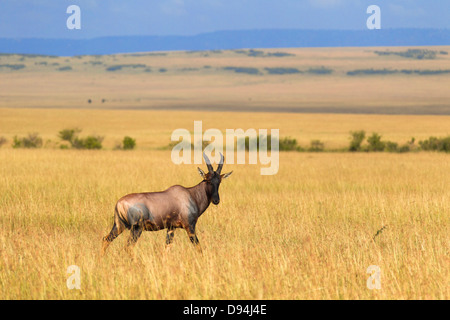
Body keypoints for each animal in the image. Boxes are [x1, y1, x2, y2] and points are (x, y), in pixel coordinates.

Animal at [100, 152, 230, 255]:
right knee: (128, 247)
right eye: (208, 180)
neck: (190, 194)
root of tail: (119, 203)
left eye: (219, 181)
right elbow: (198, 247)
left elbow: (167, 248)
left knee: (105, 239)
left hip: (118, 226)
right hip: (136, 229)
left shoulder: (171, 228)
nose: (216, 200)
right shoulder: (190, 227)